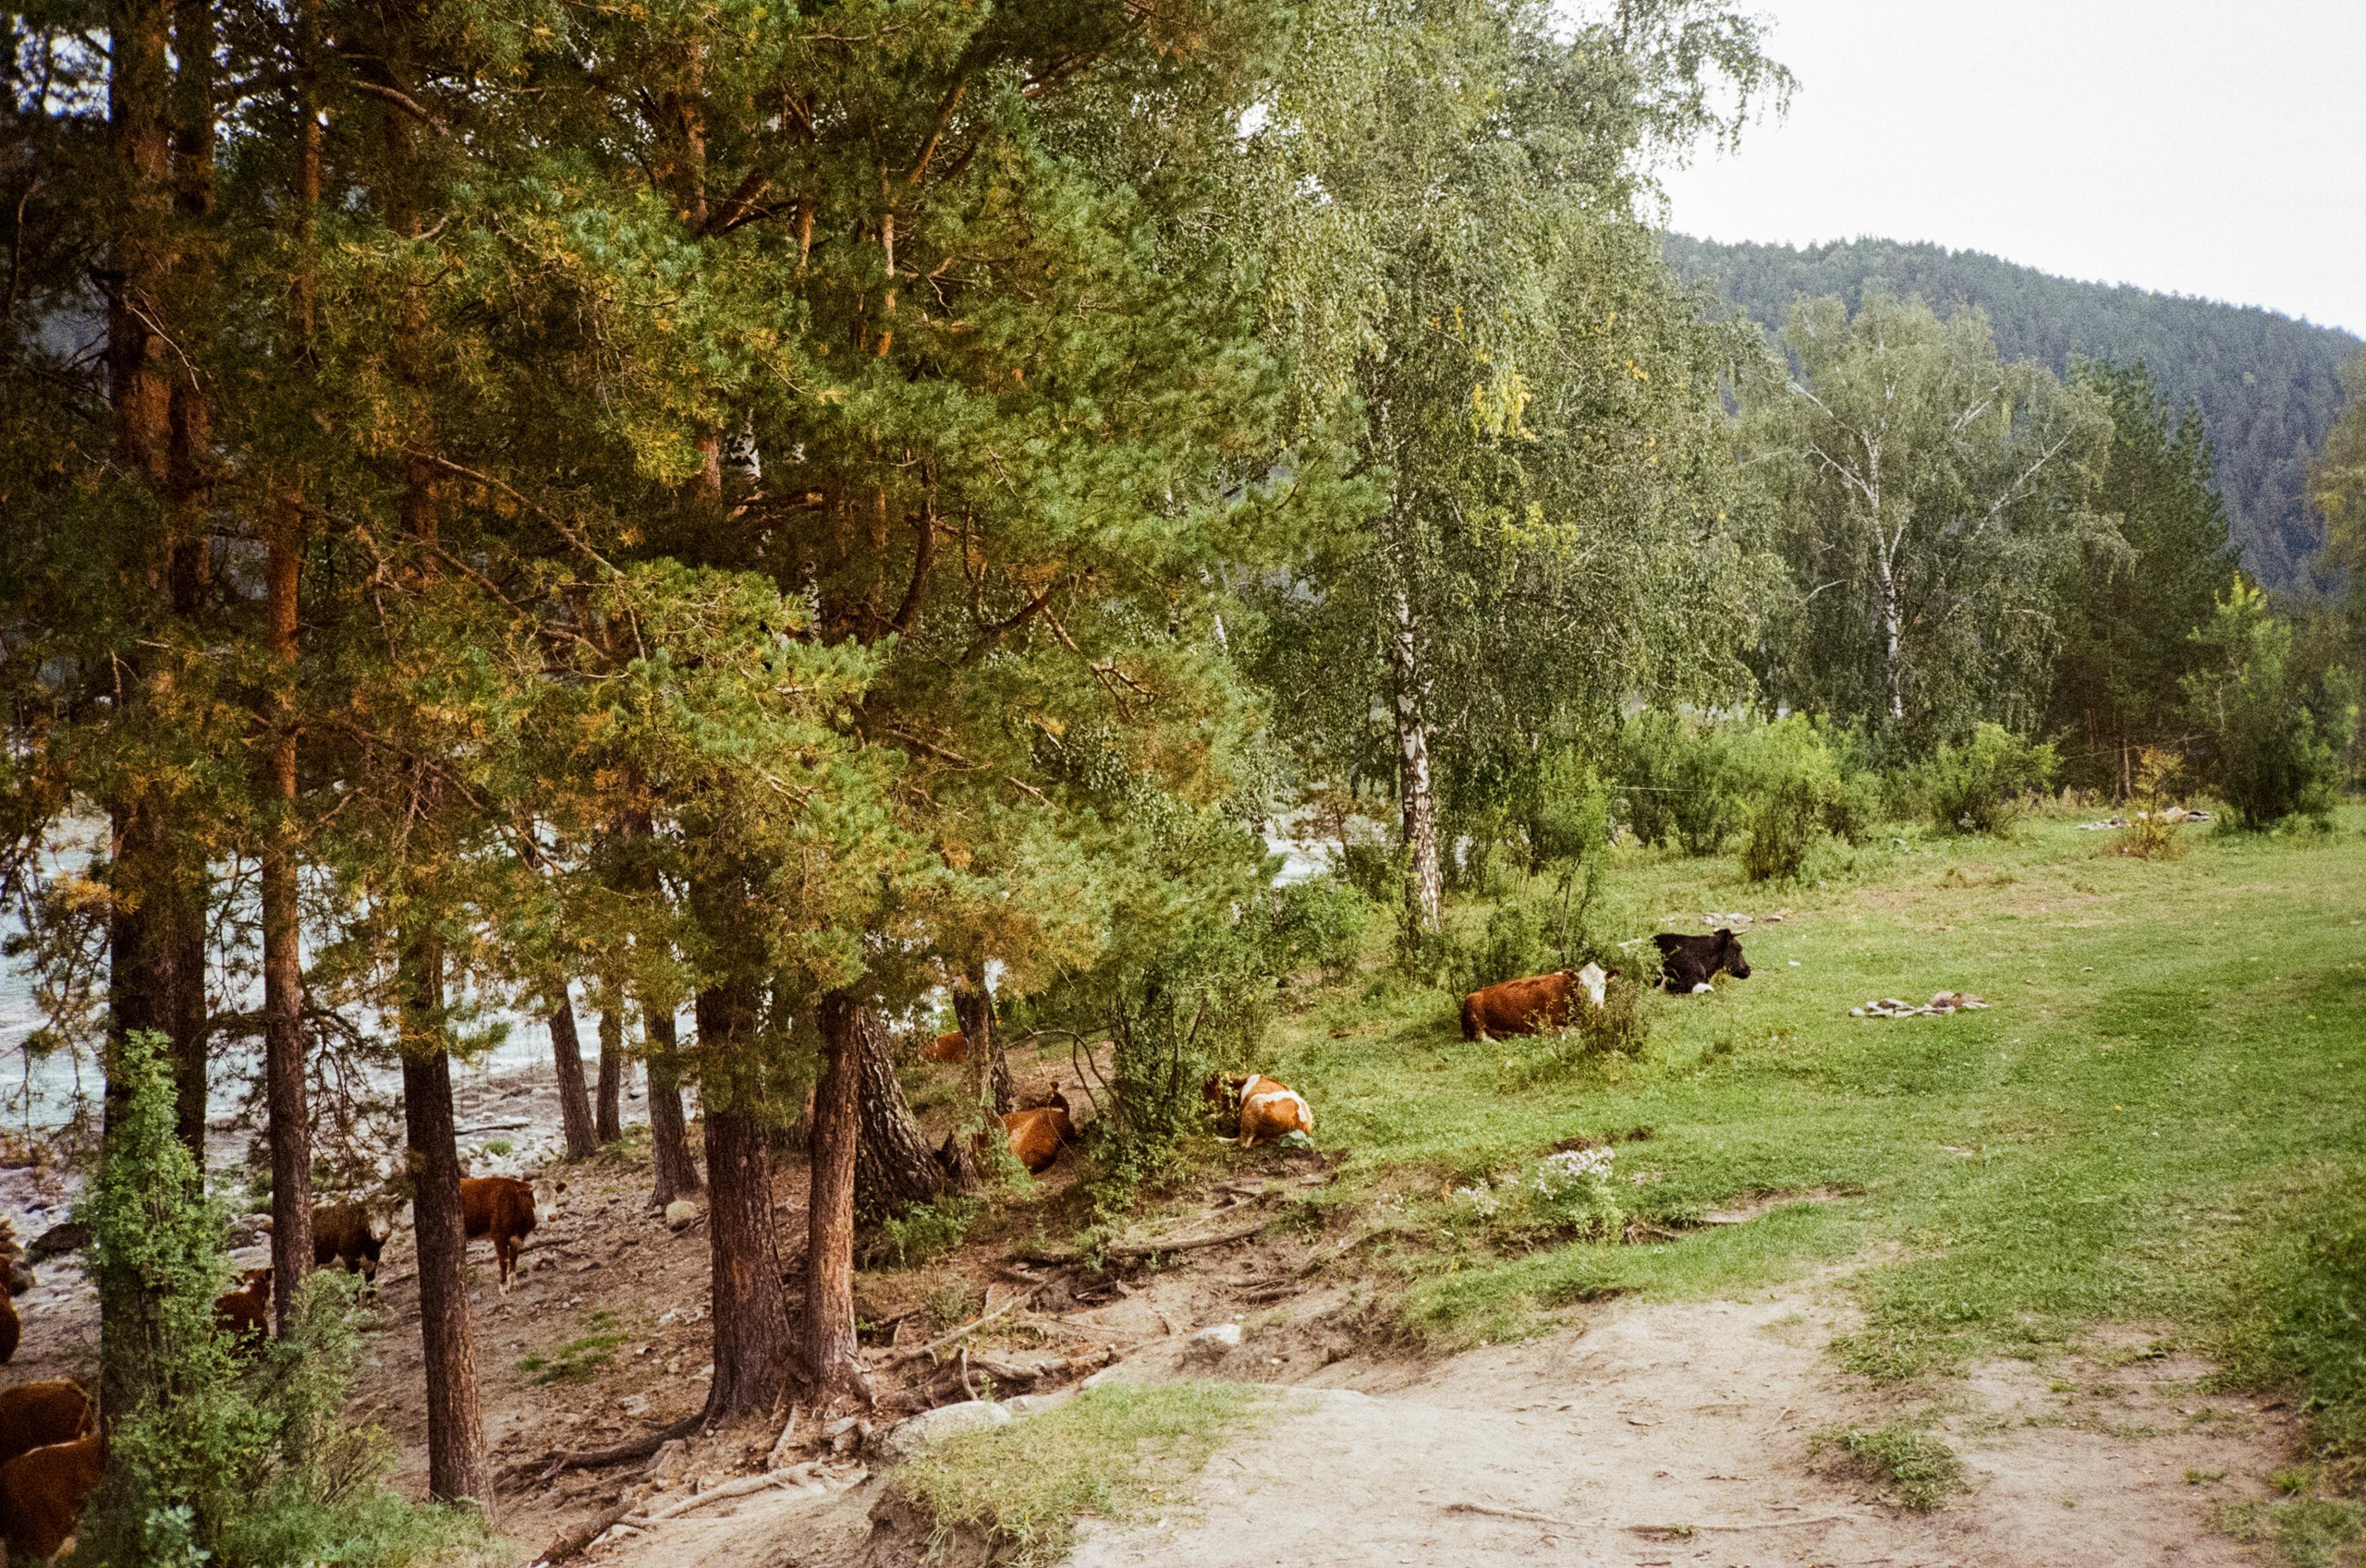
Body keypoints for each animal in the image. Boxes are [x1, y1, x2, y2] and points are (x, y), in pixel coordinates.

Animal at [1460, 962, 1609, 1041]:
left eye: (1603, 984)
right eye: (1582, 985)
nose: (1596, 1004)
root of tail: (1473, 994)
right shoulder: (1543, 1023)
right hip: (1477, 1024)